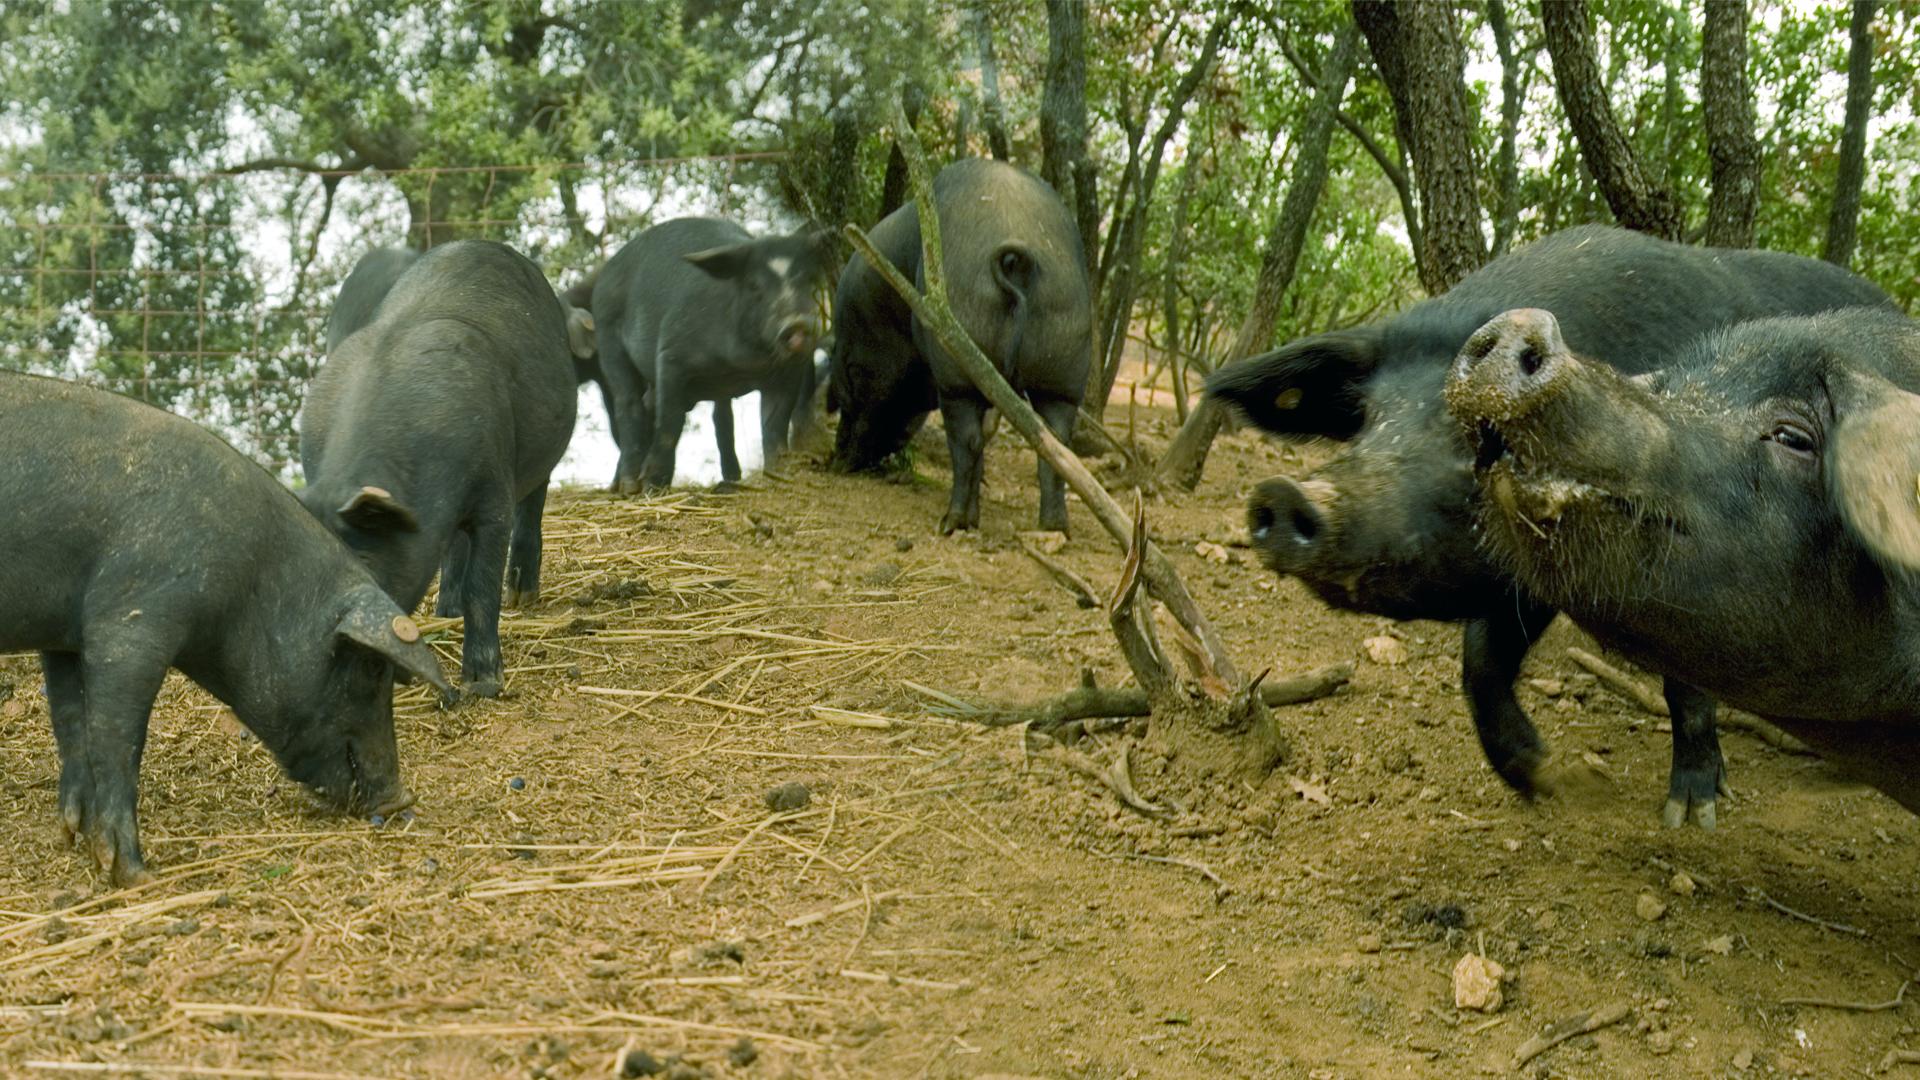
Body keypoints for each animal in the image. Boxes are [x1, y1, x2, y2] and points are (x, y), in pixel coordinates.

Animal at [0, 368, 451, 883]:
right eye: (374, 668)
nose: (401, 798)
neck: (253, 579)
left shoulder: (66, 637)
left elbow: (72, 726)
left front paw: (73, 840)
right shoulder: (131, 621)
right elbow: (118, 741)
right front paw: (136, 876)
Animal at [299, 238, 576, 691]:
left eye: (364, 562)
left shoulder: (494, 491)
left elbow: (483, 584)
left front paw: (483, 685)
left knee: (531, 508)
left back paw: (521, 596)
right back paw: (447, 613)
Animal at [829, 156, 1090, 534]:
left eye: (843, 384)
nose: (833, 459)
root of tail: (1018, 257)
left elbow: (870, 411)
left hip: (958, 370)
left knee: (967, 440)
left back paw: (952, 522)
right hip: (1063, 369)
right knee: (1057, 445)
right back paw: (1053, 527)